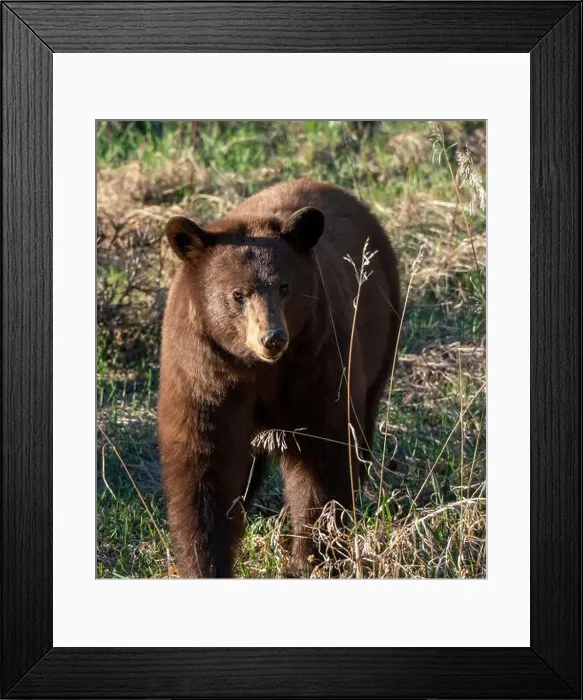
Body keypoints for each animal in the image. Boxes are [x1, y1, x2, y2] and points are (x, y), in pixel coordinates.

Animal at [158, 179, 400, 578]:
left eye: (284, 287)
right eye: (237, 294)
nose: (273, 338)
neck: (257, 370)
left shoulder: (317, 363)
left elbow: (324, 459)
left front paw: (312, 557)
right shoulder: (204, 375)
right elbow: (202, 470)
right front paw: (204, 563)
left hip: (382, 337)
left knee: (362, 427)